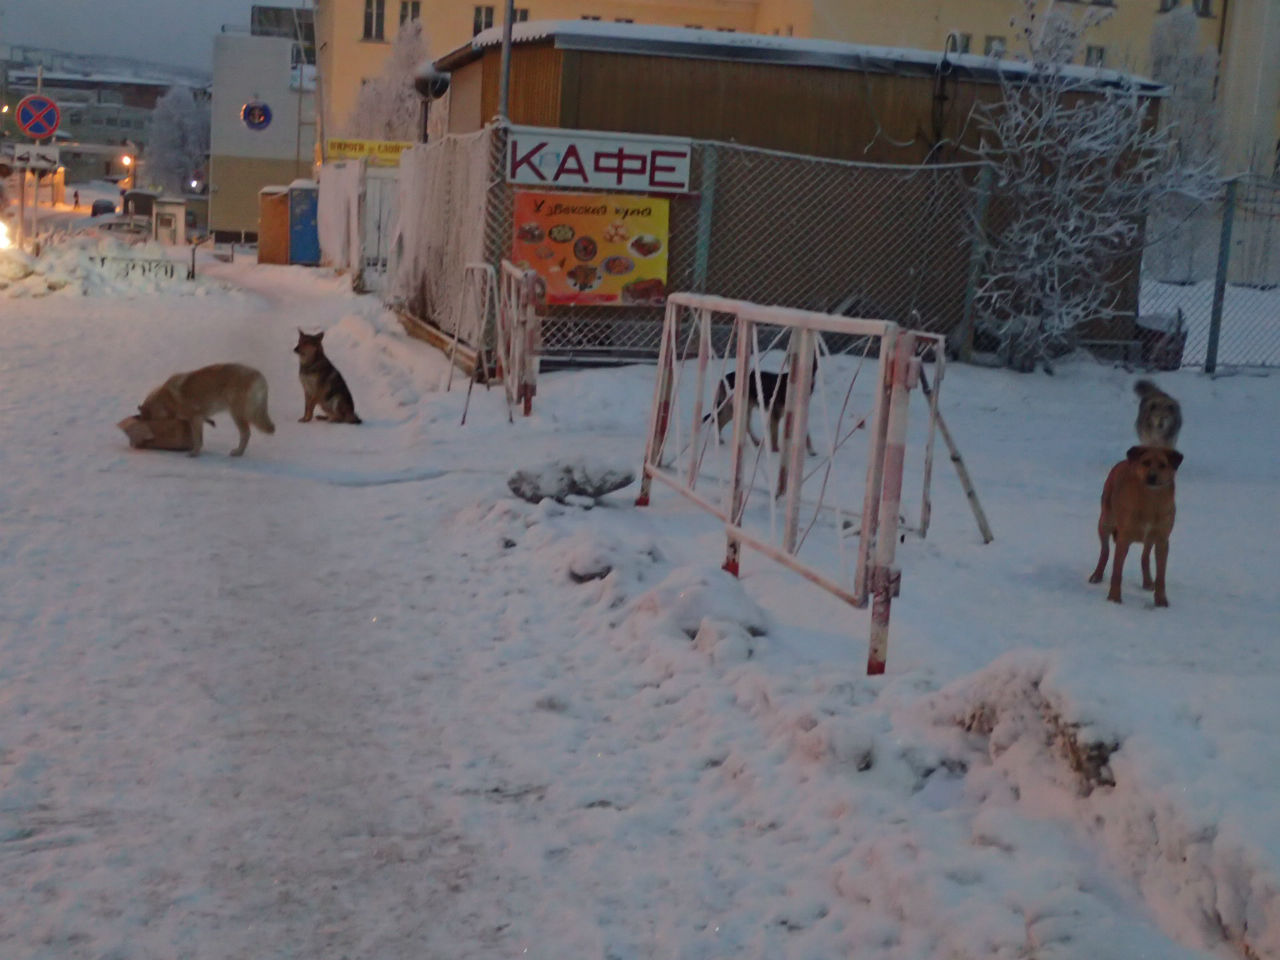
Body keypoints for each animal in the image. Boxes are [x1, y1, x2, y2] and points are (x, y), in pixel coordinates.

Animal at [138, 363, 276, 463]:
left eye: (148, 420)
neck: (166, 400)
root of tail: (258, 376)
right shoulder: (197, 419)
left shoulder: (195, 418)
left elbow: (198, 439)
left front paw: (194, 453)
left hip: (237, 414)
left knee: (246, 434)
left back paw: (238, 452)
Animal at [1090, 445, 1177, 609]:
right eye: (1146, 462)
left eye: (1163, 465)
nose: (1152, 477)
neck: (1150, 504)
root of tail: (1124, 461)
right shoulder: (1124, 537)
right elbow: (1117, 572)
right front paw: (1114, 598)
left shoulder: (1162, 539)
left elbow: (1161, 575)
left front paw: (1161, 601)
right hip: (1106, 520)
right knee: (1105, 550)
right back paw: (1097, 575)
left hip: (1150, 538)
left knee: (1145, 556)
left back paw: (1148, 582)